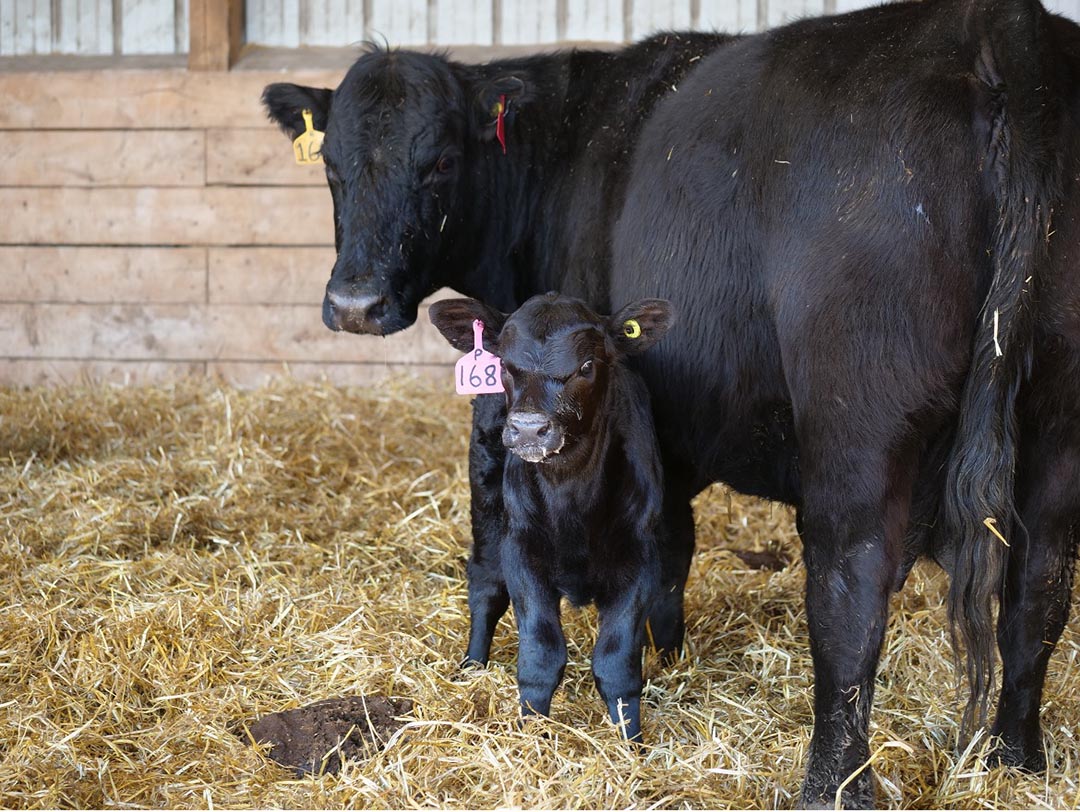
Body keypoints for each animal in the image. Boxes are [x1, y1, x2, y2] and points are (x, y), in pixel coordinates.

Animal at [429, 293, 674, 743]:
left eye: (586, 366)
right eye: (505, 365)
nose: (528, 429)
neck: (570, 493)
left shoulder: (641, 558)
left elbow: (616, 663)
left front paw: (631, 744)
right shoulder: (521, 551)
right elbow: (541, 654)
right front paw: (531, 737)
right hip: (486, 498)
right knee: (485, 585)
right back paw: (472, 666)